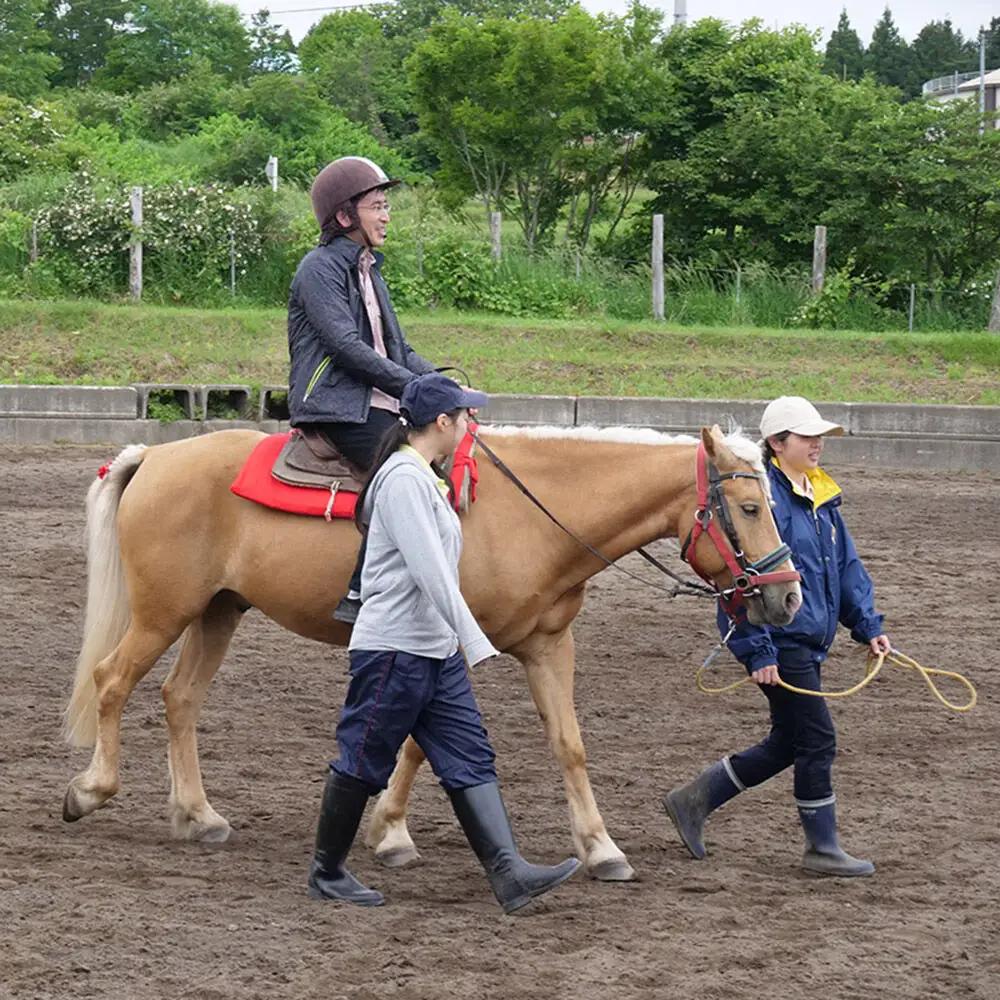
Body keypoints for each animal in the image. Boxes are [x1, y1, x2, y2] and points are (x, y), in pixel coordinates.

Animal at [62, 422, 801, 881]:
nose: (789, 597)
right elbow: (421, 744)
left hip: (217, 612)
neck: (536, 513)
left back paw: (199, 815)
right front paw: (389, 832)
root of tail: (153, 458)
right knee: (110, 681)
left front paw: (601, 848)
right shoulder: (450, 643)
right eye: (748, 507)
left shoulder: (548, 646)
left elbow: (569, 745)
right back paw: (91, 791)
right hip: (164, 614)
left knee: (178, 698)